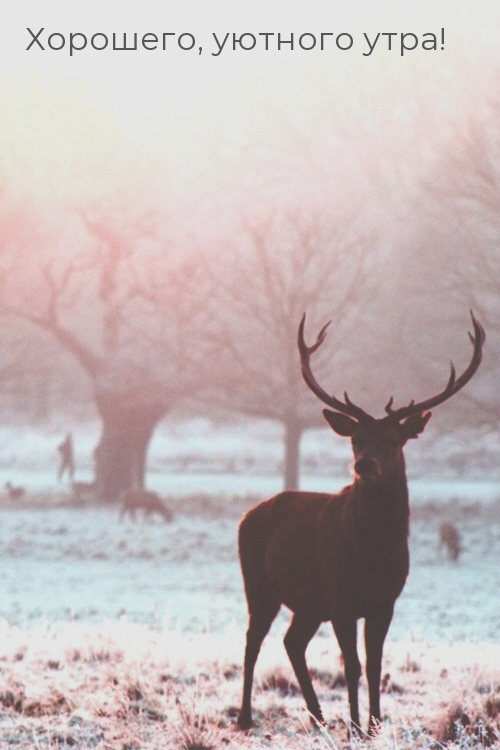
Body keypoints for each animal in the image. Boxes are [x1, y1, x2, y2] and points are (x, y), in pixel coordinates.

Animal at [238, 310, 484, 736]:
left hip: (308, 602)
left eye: (394, 440)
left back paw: (318, 716)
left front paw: (373, 725)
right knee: (254, 640)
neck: (374, 553)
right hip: (259, 584)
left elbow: (373, 666)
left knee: (292, 641)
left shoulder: (384, 602)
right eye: (356, 439)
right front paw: (354, 726)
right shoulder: (341, 598)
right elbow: (351, 666)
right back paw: (245, 717)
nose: (364, 464)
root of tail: (246, 516)